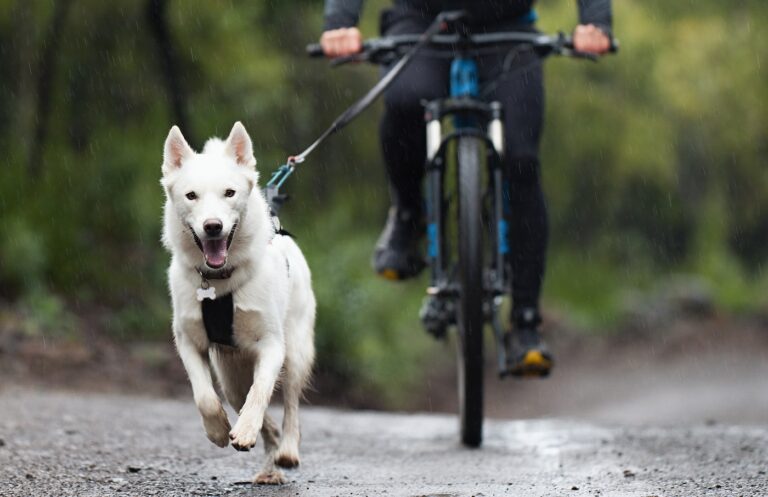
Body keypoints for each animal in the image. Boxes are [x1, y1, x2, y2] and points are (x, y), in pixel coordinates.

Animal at [160, 121, 316, 484]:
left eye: (229, 193)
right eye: (191, 196)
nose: (213, 226)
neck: (219, 282)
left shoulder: (272, 346)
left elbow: (260, 393)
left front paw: (244, 430)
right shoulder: (189, 342)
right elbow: (204, 396)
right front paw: (218, 430)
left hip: (296, 351)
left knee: (289, 405)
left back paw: (287, 449)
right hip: (229, 376)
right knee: (250, 408)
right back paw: (269, 463)